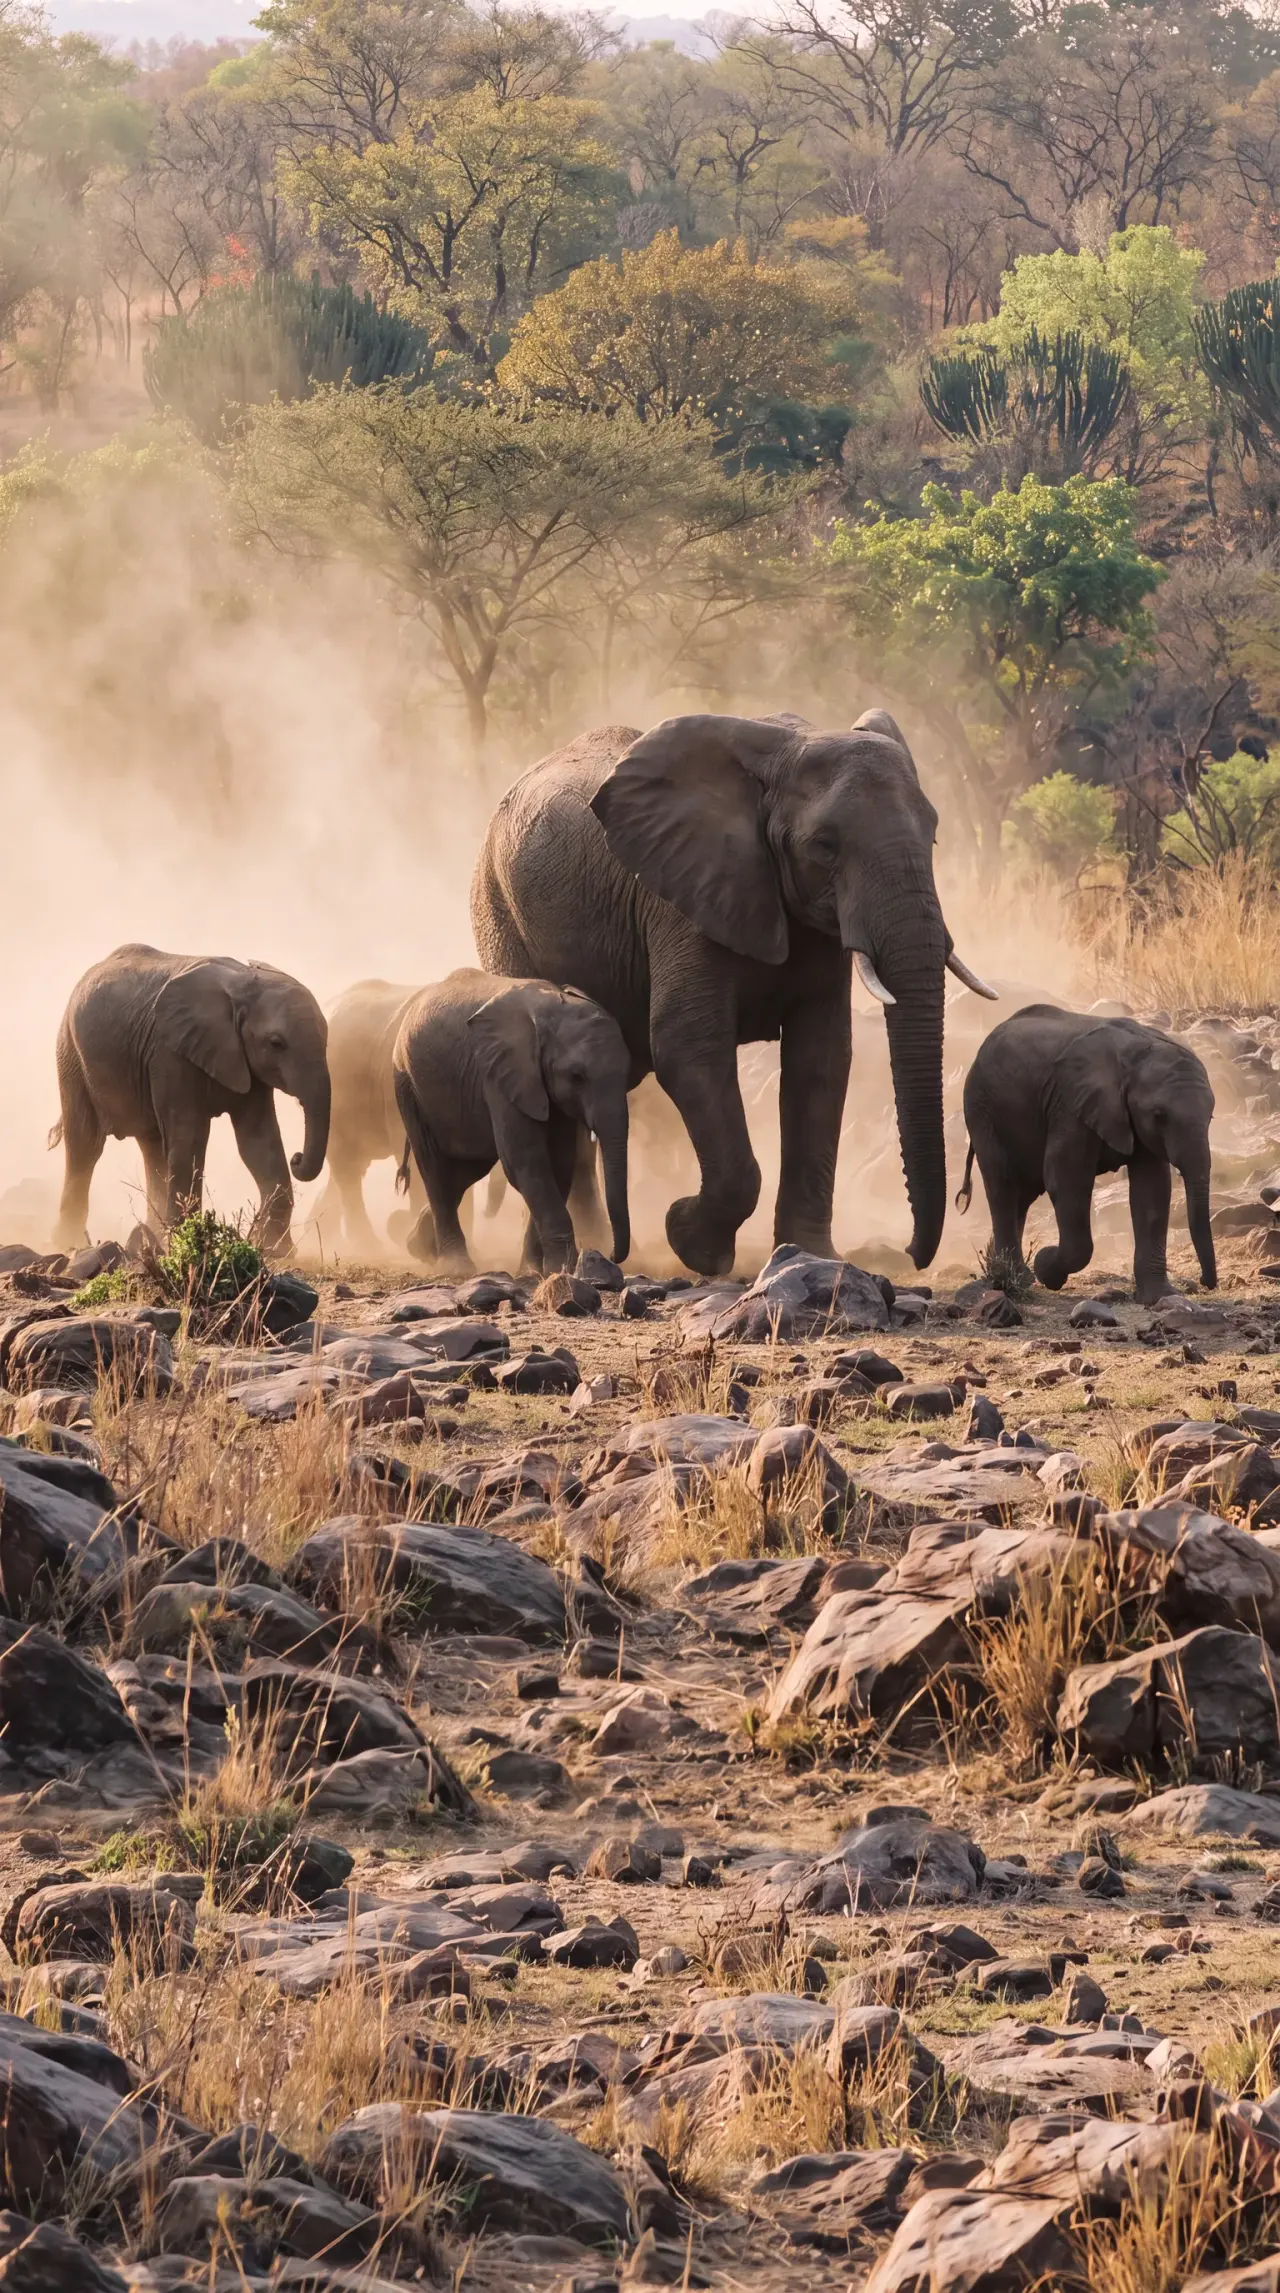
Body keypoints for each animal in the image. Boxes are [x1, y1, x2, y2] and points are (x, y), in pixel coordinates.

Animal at [52, 945, 330, 1255]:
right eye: (276, 1043)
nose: (298, 1158)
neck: (243, 985)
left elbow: (259, 1142)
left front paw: (276, 1252)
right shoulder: (170, 1053)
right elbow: (190, 1138)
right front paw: (184, 1246)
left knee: (153, 1147)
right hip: (70, 1053)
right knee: (85, 1146)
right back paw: (71, 1244)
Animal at [392, 968, 631, 1274]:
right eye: (577, 1076)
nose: (610, 1254)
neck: (551, 1009)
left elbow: (559, 1161)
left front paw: (534, 1270)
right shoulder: (500, 1075)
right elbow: (526, 1162)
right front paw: (561, 1268)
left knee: (465, 1169)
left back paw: (417, 1246)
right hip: (408, 1085)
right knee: (436, 1169)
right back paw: (456, 1267)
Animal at [471, 710, 993, 1276]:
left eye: (934, 836)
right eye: (825, 846)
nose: (910, 1253)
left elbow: (823, 1059)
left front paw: (811, 1253)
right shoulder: (681, 897)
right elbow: (688, 1047)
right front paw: (691, 1239)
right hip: (499, 914)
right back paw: (570, 1255)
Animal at [957, 1004, 1216, 1305]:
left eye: (1211, 1117)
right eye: (1159, 1115)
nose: (1204, 1282)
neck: (1134, 1055)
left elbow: (1152, 1189)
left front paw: (1159, 1297)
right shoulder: (1070, 1104)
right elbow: (1066, 1177)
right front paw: (1046, 1266)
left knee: (1022, 1194)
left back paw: (1006, 1271)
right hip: (981, 1107)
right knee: (1003, 1185)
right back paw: (1016, 1277)